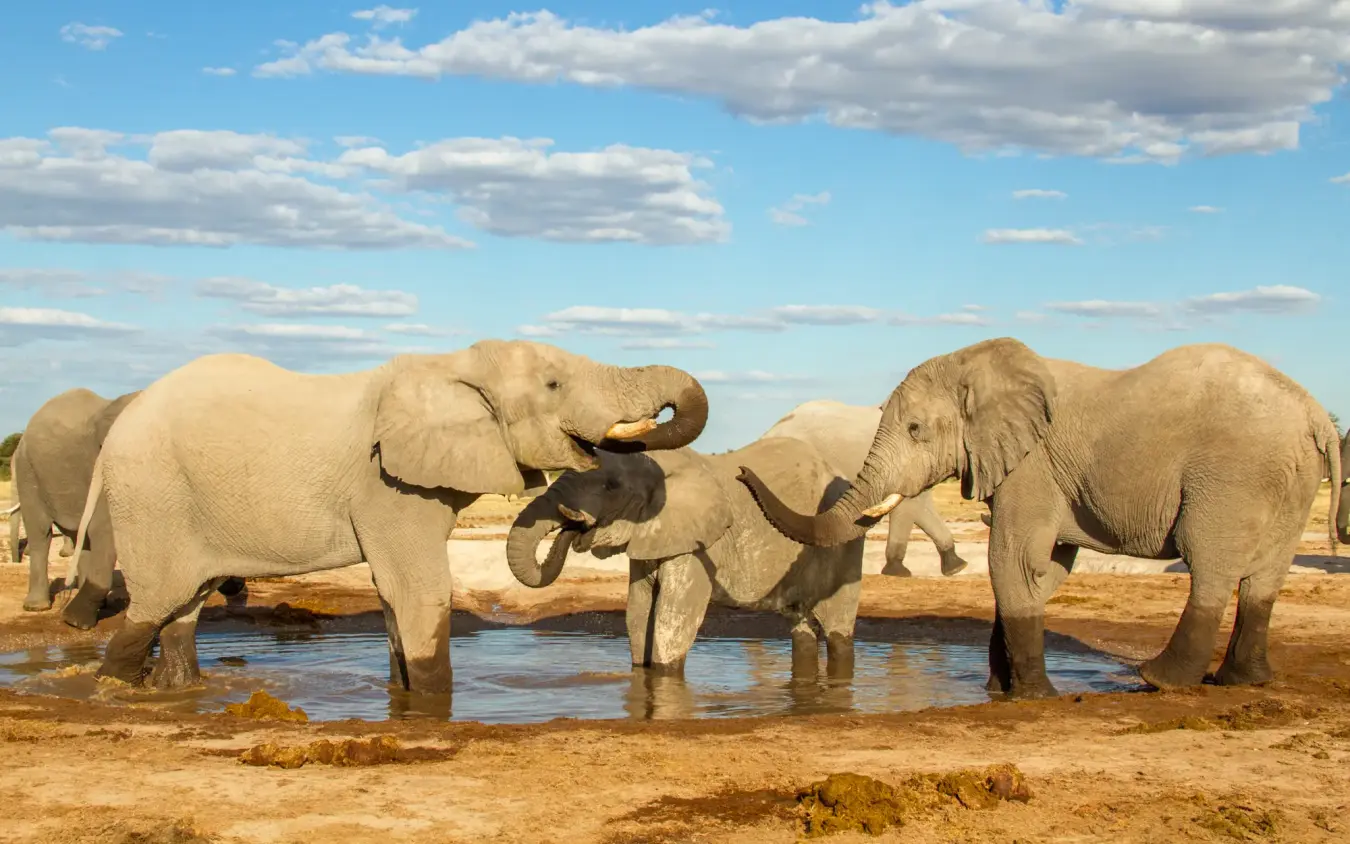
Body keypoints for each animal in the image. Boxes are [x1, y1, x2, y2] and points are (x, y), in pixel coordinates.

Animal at [10, 388, 246, 628]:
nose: (236, 586)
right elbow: (105, 530)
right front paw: (74, 622)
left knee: (81, 537)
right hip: (27, 471)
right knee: (41, 533)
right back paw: (38, 607)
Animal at [76, 341, 707, 695]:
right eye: (554, 385)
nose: (577, 522)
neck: (450, 368)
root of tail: (117, 431)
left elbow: (391, 594)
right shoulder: (388, 484)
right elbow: (418, 590)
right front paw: (430, 705)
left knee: (185, 604)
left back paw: (175, 689)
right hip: (153, 493)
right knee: (157, 600)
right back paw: (112, 688)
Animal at [505, 436, 865, 680]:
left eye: (611, 486)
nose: (576, 527)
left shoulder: (696, 545)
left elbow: (672, 617)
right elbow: (638, 614)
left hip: (842, 547)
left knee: (837, 628)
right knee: (801, 627)